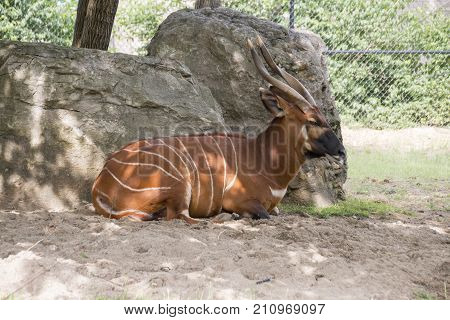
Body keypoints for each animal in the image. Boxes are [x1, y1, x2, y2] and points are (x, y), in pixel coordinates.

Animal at [90, 36, 344, 222]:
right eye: (313, 120)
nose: (341, 151)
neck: (263, 159)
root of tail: (100, 185)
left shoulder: (274, 206)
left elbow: (276, 212)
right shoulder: (240, 200)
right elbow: (264, 215)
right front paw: (232, 215)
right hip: (180, 185)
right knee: (180, 217)